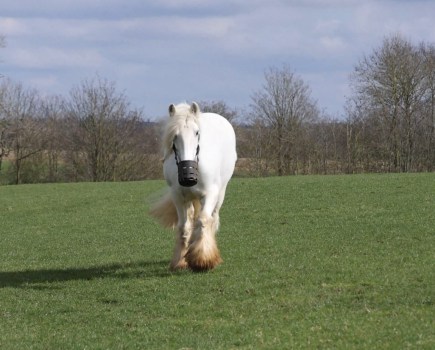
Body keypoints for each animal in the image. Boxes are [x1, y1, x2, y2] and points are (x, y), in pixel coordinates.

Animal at [151, 102, 238, 272]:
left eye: (197, 132)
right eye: (174, 136)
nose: (188, 176)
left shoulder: (210, 194)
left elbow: (204, 220)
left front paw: (203, 260)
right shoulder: (178, 197)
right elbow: (184, 227)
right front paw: (180, 261)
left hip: (220, 194)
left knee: (212, 219)